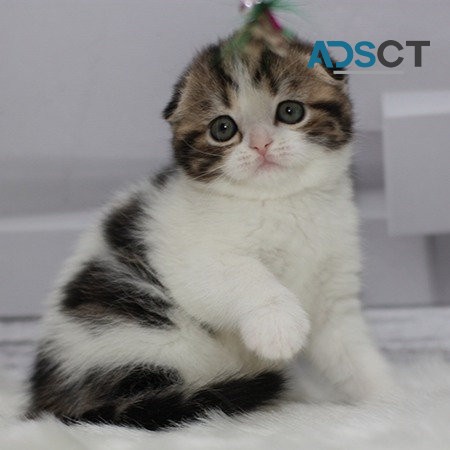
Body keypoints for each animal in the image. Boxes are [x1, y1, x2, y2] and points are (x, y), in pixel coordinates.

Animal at [26, 35, 392, 428]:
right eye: (223, 129)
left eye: (291, 111)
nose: (261, 143)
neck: (282, 202)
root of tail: (46, 398)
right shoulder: (192, 260)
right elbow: (246, 274)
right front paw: (278, 325)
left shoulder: (334, 288)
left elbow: (351, 350)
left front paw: (393, 400)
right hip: (136, 330)